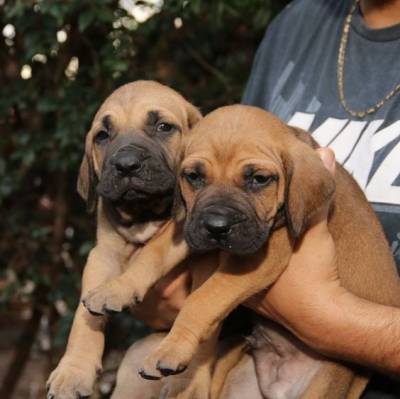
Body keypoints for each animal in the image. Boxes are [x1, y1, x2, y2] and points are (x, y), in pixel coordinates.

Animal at [45, 80, 202, 399]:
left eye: (164, 127)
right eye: (102, 136)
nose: (126, 165)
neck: (142, 214)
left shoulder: (182, 231)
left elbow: (150, 252)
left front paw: (117, 289)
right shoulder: (102, 254)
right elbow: (82, 317)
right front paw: (73, 371)